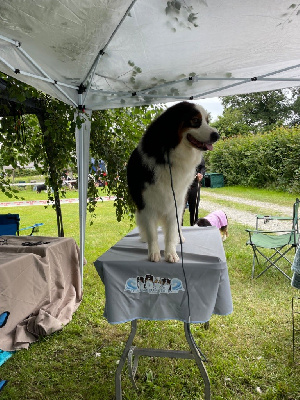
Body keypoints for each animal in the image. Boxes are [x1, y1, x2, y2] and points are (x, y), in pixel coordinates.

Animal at [127, 101, 220, 262]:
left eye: (207, 121)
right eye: (195, 120)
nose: (217, 135)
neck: (169, 157)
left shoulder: (175, 200)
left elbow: (171, 230)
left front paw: (171, 253)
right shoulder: (146, 203)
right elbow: (151, 230)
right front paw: (154, 253)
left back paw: (180, 238)